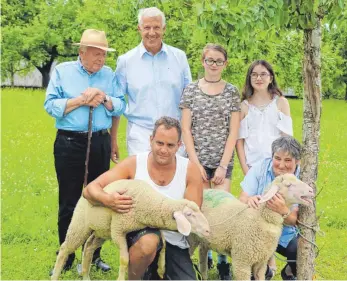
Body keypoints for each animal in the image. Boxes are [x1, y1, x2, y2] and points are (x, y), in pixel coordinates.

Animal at [50, 178, 211, 278]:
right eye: (189, 214)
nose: (208, 230)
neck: (146, 201)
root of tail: (85, 190)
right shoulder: (118, 231)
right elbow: (124, 260)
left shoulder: (152, 225)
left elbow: (164, 244)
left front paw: (161, 268)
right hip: (80, 225)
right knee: (65, 249)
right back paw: (56, 275)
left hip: (102, 231)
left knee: (89, 247)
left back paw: (86, 276)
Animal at [188, 174, 316, 278]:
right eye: (288, 185)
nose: (311, 190)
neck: (260, 217)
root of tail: (206, 190)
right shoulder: (242, 262)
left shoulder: (261, 262)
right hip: (192, 239)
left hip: (205, 240)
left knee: (202, 257)